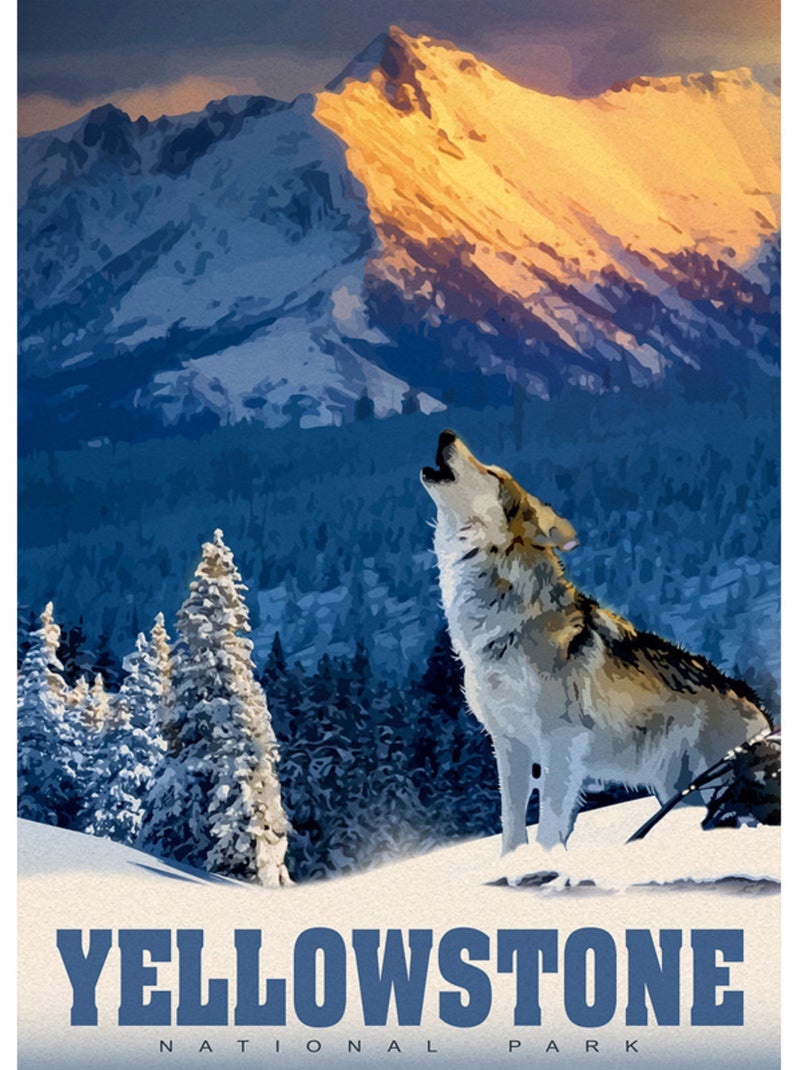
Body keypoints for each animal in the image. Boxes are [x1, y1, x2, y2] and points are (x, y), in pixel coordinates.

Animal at [421, 430, 771, 855]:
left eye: (490, 472)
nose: (446, 433)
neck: (504, 625)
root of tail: (760, 710)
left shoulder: (561, 746)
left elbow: (548, 830)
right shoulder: (509, 746)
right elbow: (512, 829)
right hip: (675, 791)